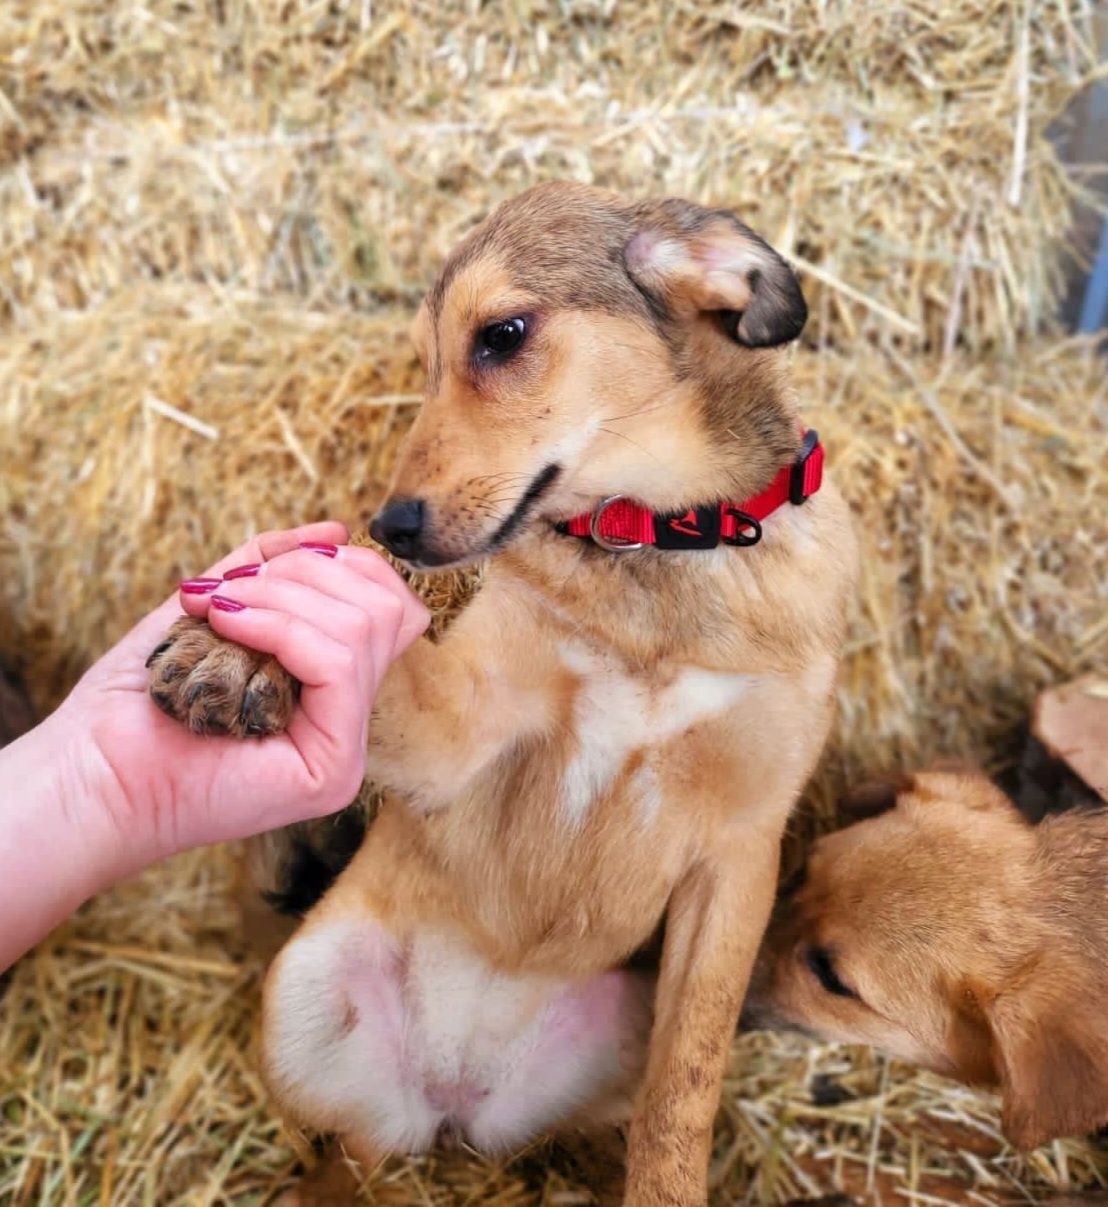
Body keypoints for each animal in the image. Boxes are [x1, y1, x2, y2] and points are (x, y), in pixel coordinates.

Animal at [147, 181, 859, 1207]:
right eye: (426, 362)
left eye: (503, 334)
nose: (389, 527)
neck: (655, 549)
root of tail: (454, 1098)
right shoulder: (466, 732)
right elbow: (383, 655)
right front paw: (243, 650)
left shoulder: (740, 853)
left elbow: (681, 1103)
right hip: (308, 999)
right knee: (345, 1161)